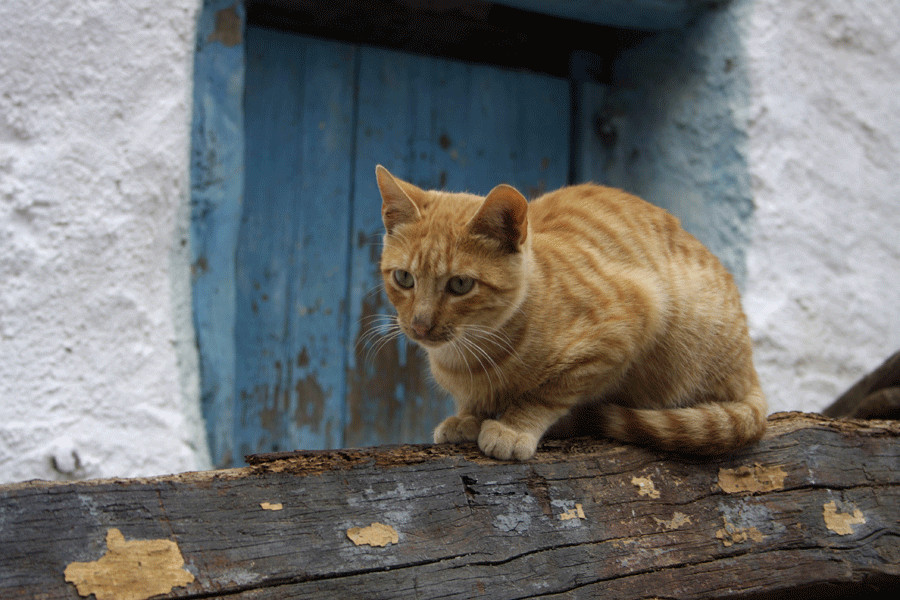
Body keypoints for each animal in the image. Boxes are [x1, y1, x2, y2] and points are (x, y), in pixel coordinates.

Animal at [372, 164, 768, 460]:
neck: (468, 356)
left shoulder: (632, 319)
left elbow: (548, 392)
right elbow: (475, 404)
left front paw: (513, 427)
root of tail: (750, 369)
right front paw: (468, 417)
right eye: (404, 278)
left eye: (459, 285)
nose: (419, 326)